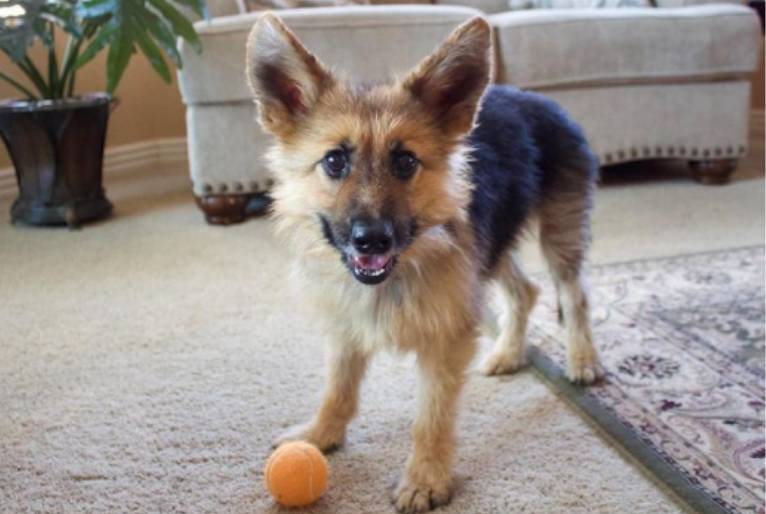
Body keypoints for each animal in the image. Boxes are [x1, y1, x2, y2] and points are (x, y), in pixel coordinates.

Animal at [246, 14, 608, 510]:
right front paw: (322, 434)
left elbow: (431, 418)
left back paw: (582, 358)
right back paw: (509, 352)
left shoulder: (446, 339)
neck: (395, 275)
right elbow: (338, 387)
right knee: (525, 290)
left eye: (405, 161)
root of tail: (538, 98)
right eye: (335, 161)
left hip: (558, 233)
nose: (371, 239)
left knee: (574, 295)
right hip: (490, 251)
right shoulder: (346, 325)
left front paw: (425, 477)